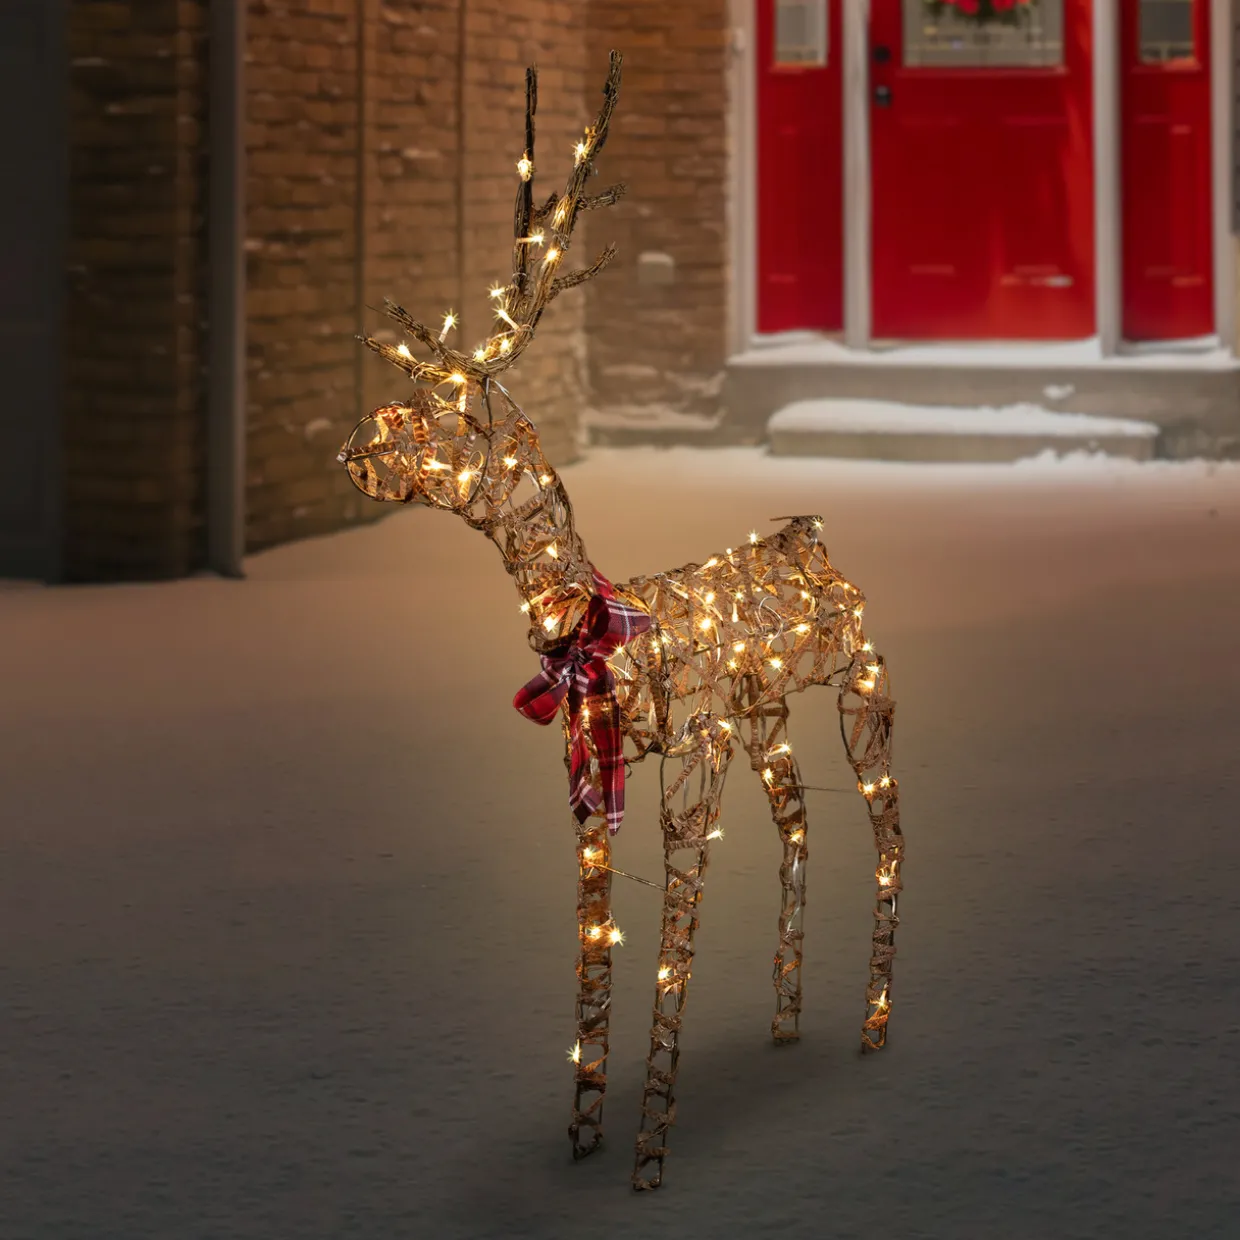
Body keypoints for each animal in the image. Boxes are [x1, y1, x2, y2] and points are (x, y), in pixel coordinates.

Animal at [337, 51, 903, 1191]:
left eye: (448, 406)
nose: (355, 449)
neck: (595, 628)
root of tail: (813, 532)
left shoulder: (689, 768)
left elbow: (672, 952)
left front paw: (647, 1161)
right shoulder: (591, 784)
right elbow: (594, 946)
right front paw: (582, 1134)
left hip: (859, 687)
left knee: (887, 825)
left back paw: (873, 1026)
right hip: (765, 716)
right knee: (799, 821)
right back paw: (786, 1021)